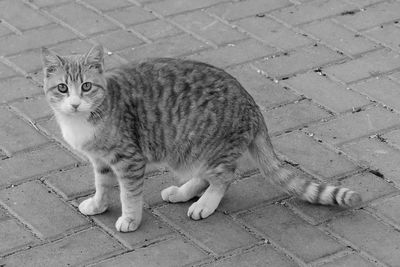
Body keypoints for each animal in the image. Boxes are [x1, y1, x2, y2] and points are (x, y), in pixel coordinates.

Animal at [41, 45, 362, 232]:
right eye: (62, 88)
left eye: (86, 86)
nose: (74, 104)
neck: (83, 120)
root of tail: (251, 103)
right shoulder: (102, 160)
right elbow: (102, 185)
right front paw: (98, 204)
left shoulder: (129, 160)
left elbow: (128, 194)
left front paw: (131, 218)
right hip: (189, 152)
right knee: (206, 175)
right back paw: (183, 192)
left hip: (207, 148)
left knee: (224, 177)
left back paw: (204, 204)